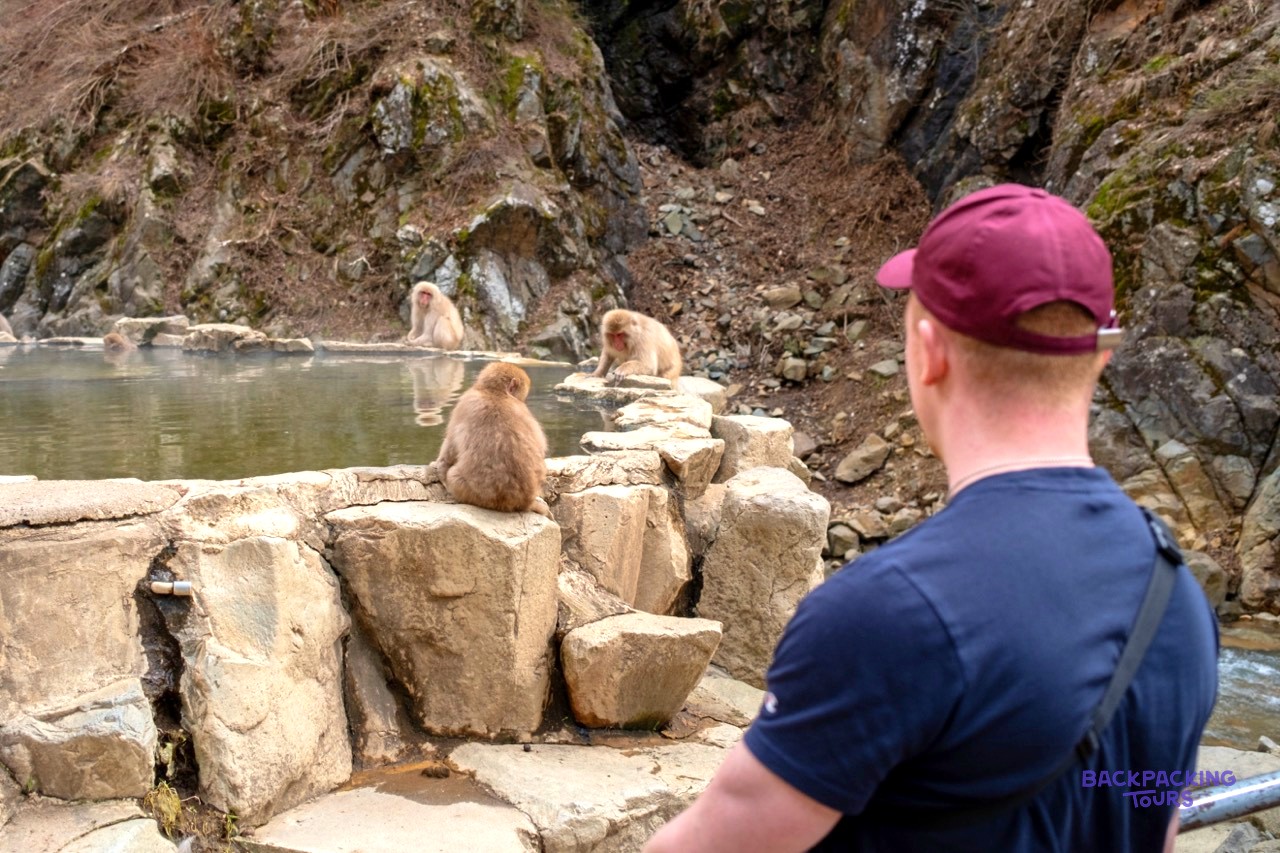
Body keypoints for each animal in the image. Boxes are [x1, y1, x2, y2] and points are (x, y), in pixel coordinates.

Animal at [434, 362, 552, 517]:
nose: (522, 400)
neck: (495, 393)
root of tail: (524, 502)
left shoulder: (464, 403)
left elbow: (450, 448)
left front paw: (440, 470)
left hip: (476, 495)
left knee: (453, 475)